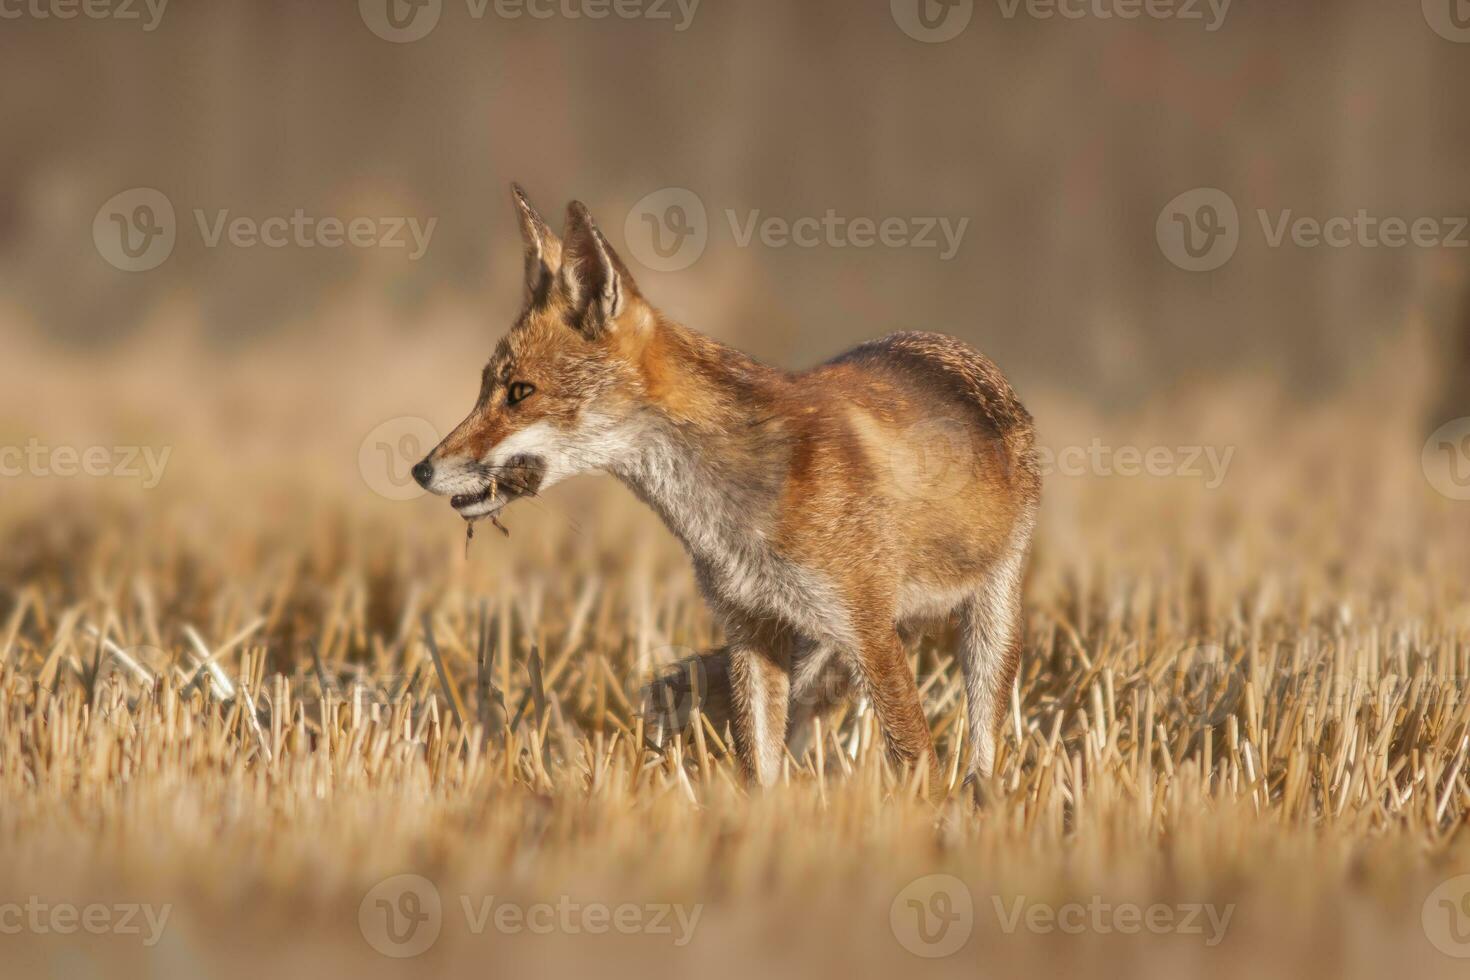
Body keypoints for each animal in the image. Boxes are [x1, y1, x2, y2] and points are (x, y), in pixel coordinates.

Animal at [408, 188, 1040, 799]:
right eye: (484, 388)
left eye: (520, 392)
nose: (420, 470)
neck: (727, 520)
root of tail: (952, 346)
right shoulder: (751, 630)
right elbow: (759, 769)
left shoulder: (867, 634)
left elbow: (917, 763)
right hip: (814, 651)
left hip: (985, 628)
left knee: (983, 750)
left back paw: (984, 798)